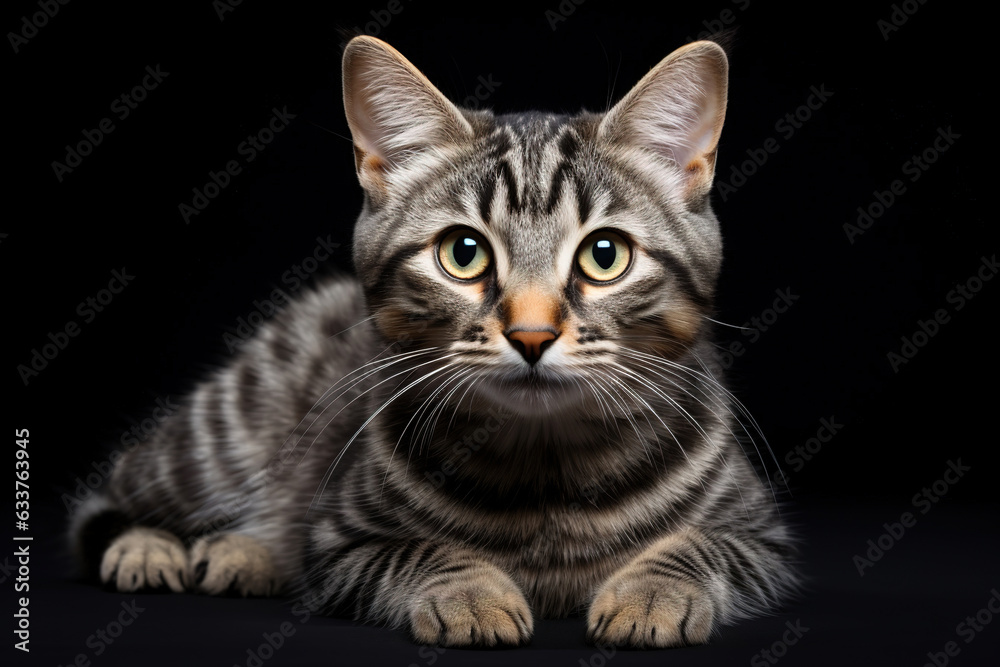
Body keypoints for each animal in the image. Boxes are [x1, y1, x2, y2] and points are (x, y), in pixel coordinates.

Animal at [70, 35, 796, 648]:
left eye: (605, 254)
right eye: (464, 252)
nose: (532, 333)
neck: (547, 468)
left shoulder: (760, 534)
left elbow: (700, 545)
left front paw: (651, 593)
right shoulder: (340, 539)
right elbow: (418, 551)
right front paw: (470, 592)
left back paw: (242, 551)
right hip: (214, 443)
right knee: (105, 499)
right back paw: (152, 548)